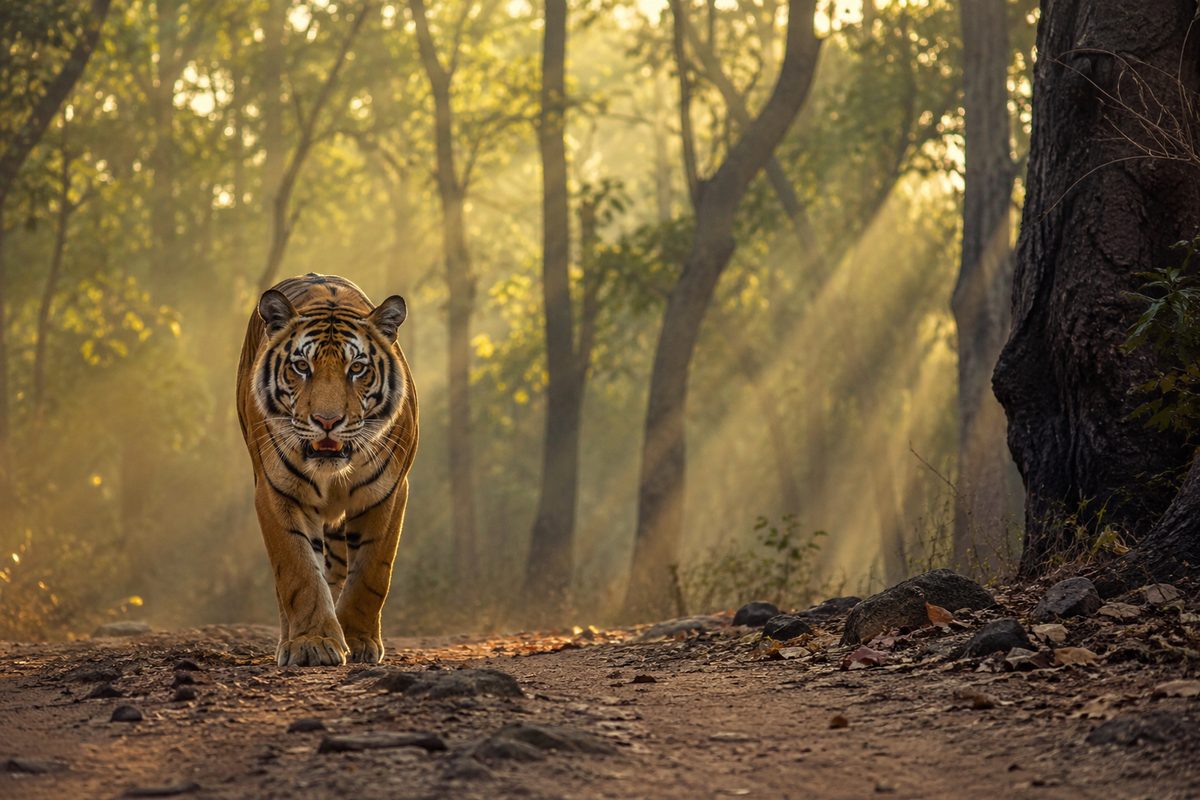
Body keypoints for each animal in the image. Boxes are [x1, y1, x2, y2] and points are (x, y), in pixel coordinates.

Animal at [236, 273, 418, 667]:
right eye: (302, 367)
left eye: (357, 368)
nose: (327, 421)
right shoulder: (276, 491)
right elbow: (299, 571)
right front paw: (313, 643)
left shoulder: (388, 492)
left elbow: (371, 574)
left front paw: (358, 639)